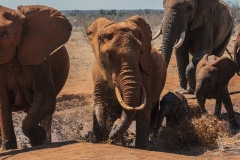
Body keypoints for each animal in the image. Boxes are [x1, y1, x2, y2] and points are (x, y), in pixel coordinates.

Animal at [0, 5, 72, 150]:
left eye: (4, 34)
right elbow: (3, 103)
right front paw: (8, 148)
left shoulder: (39, 61)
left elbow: (47, 99)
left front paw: (39, 137)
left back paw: (46, 142)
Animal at [86, 15, 167, 149]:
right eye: (108, 56)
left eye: (140, 53)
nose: (111, 135)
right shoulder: (98, 76)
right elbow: (100, 102)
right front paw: (104, 136)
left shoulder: (145, 74)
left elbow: (144, 111)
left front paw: (141, 148)